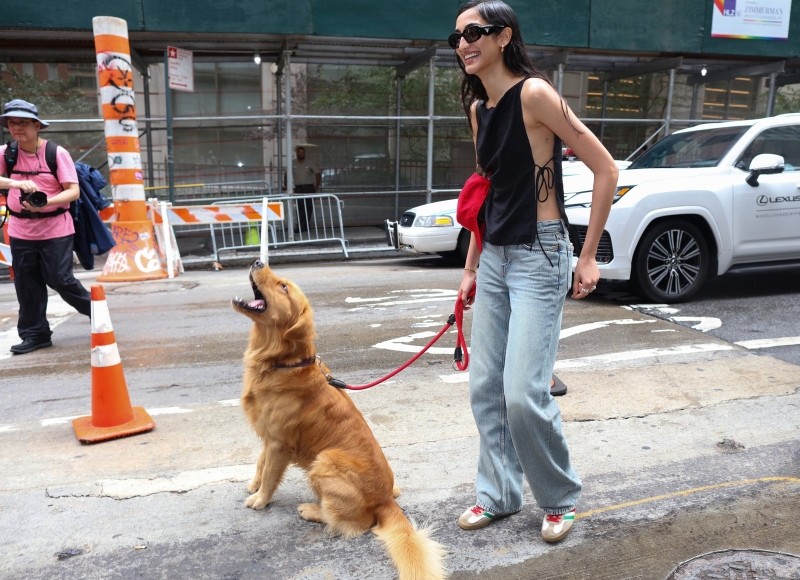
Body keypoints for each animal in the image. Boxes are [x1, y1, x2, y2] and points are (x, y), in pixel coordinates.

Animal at [231, 260, 446, 576]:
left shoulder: (280, 445)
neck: (282, 362)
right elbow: (261, 464)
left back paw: (312, 510)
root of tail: (384, 500)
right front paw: (254, 484)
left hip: (325, 460)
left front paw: (260, 499)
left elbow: (270, 475)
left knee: (355, 524)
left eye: (283, 287)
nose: (259, 261)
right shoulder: (270, 437)